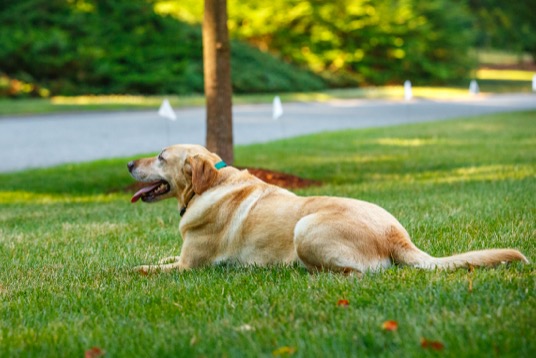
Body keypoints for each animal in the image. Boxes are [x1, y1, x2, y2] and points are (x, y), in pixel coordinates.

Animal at [126, 144, 528, 272]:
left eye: (160, 157)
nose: (129, 164)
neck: (208, 187)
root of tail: (397, 237)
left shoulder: (188, 267)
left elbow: (145, 270)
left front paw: (122, 273)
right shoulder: (181, 258)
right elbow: (158, 259)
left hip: (305, 227)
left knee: (354, 273)